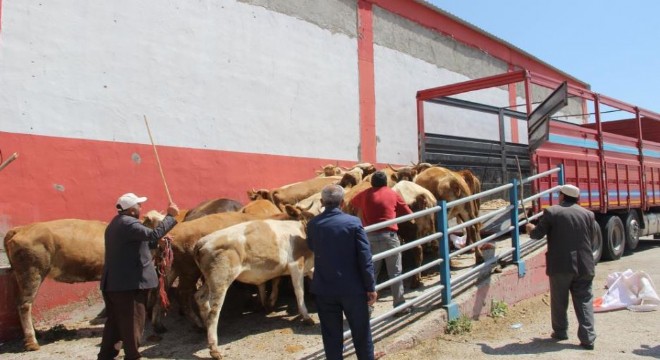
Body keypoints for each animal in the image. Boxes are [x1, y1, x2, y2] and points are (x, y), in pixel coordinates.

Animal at [3, 218, 107, 350]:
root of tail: (21, 229)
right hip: (32, 272)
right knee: (24, 304)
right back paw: (32, 342)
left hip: (21, 276)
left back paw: (36, 333)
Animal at [192, 205, 316, 360]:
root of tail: (202, 241)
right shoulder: (296, 265)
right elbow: (299, 292)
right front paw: (306, 317)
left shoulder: (308, 268)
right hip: (221, 279)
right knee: (214, 311)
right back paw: (214, 349)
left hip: (209, 280)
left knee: (200, 298)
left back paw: (205, 328)